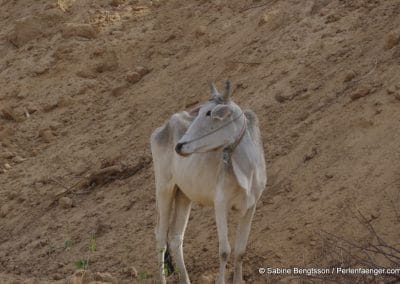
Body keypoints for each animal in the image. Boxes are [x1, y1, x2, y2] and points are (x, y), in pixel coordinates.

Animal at [149, 81, 266, 282]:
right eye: (201, 111)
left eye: (210, 113)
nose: (179, 146)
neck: (247, 170)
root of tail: (162, 128)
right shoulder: (220, 204)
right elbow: (225, 251)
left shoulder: (251, 205)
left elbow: (240, 251)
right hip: (164, 189)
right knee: (161, 240)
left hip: (183, 195)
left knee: (176, 238)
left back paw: (186, 280)